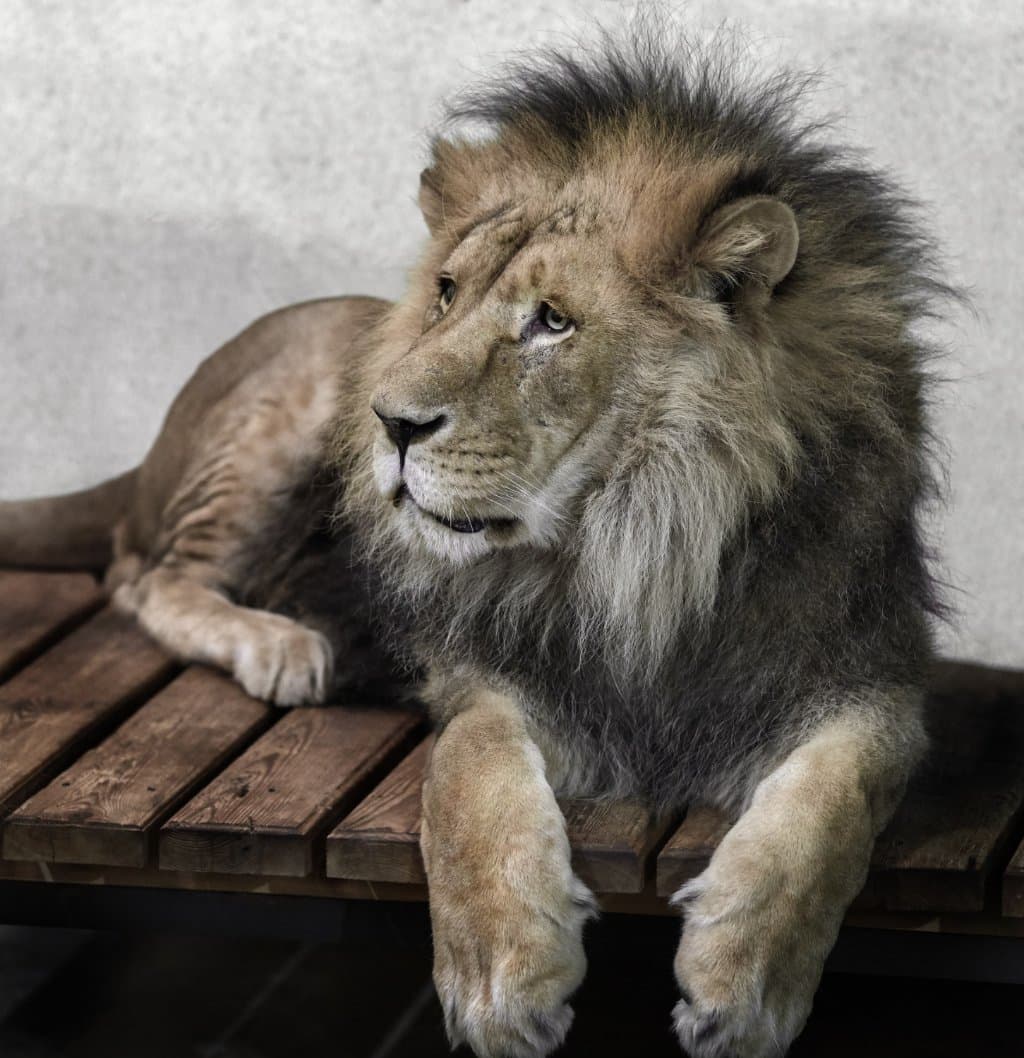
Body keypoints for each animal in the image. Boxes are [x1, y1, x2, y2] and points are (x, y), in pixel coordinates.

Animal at [0, 29, 950, 1058]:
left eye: (553, 321)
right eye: (448, 293)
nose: (388, 422)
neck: (636, 554)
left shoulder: (872, 686)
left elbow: (827, 807)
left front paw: (744, 985)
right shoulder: (487, 676)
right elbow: (470, 777)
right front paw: (502, 977)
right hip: (302, 387)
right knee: (143, 578)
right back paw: (283, 644)